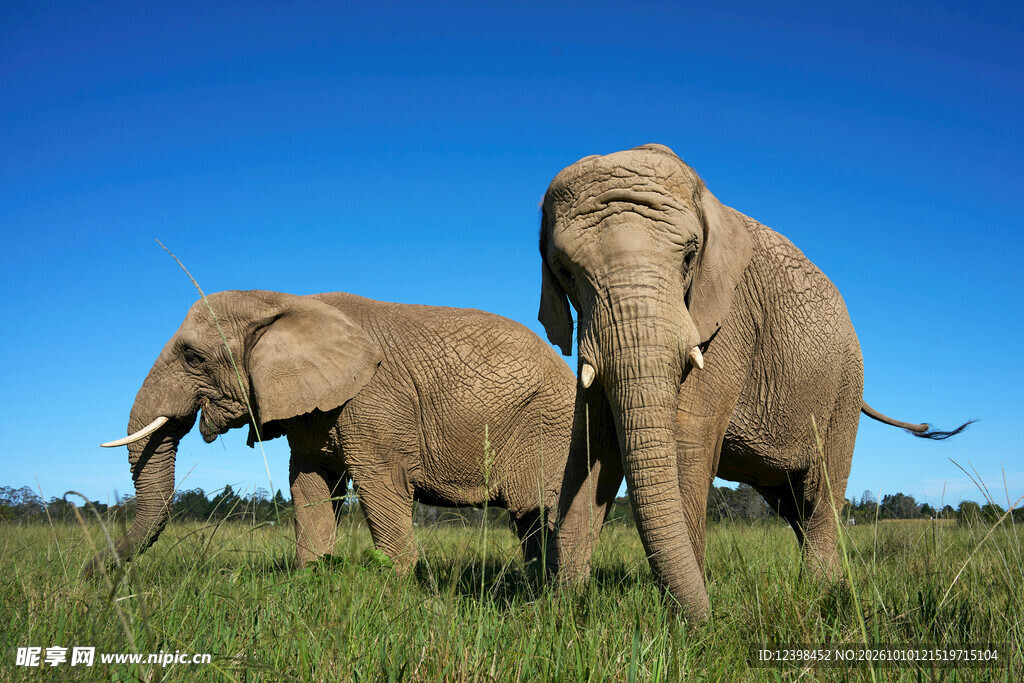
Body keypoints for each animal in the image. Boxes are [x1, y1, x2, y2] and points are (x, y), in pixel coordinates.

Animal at [96, 289, 575, 573]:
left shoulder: (375, 399)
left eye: (192, 358)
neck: (283, 301)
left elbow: (383, 487)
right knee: (529, 521)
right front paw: (313, 577)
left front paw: (400, 591)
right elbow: (309, 484)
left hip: (552, 427)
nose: (92, 575)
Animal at [538, 144, 970, 621]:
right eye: (564, 271)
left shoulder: (731, 319)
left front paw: (683, 628)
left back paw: (824, 592)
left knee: (821, 494)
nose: (708, 621)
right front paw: (563, 611)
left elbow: (685, 443)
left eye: (689, 257)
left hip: (845, 384)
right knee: (794, 505)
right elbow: (592, 445)